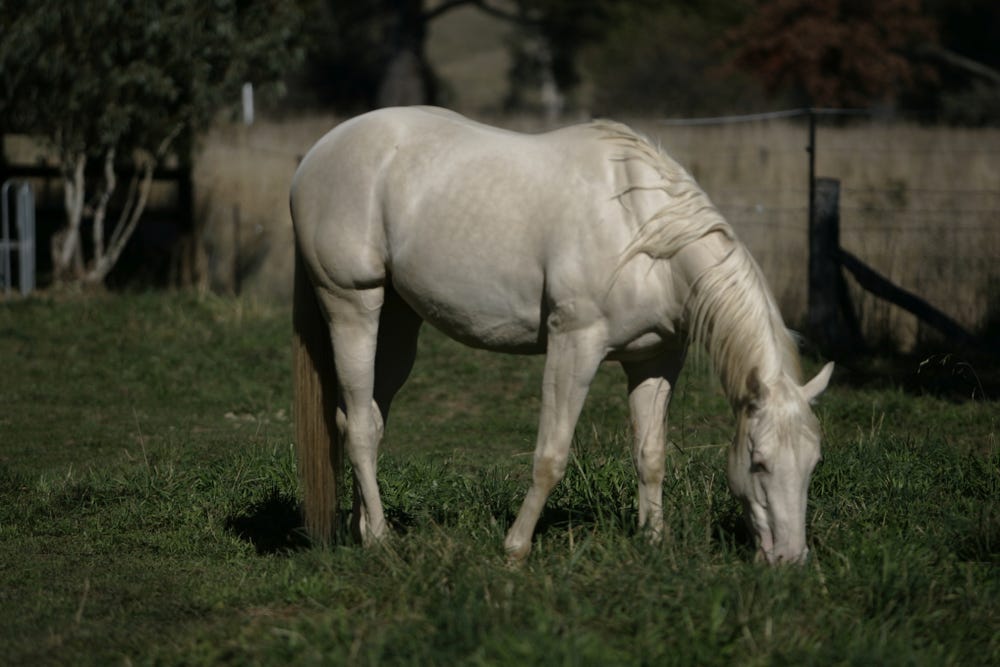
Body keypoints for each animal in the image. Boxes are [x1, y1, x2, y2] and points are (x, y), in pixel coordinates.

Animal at [290, 106, 833, 565]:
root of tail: (316, 155)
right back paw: (381, 540)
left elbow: (651, 454)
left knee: (366, 417)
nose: (790, 559)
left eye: (812, 465)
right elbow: (550, 456)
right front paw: (515, 549)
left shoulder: (655, 361)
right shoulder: (575, 346)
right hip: (352, 306)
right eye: (759, 463)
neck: (643, 231)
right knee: (359, 427)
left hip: (399, 323)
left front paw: (653, 541)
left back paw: (362, 528)